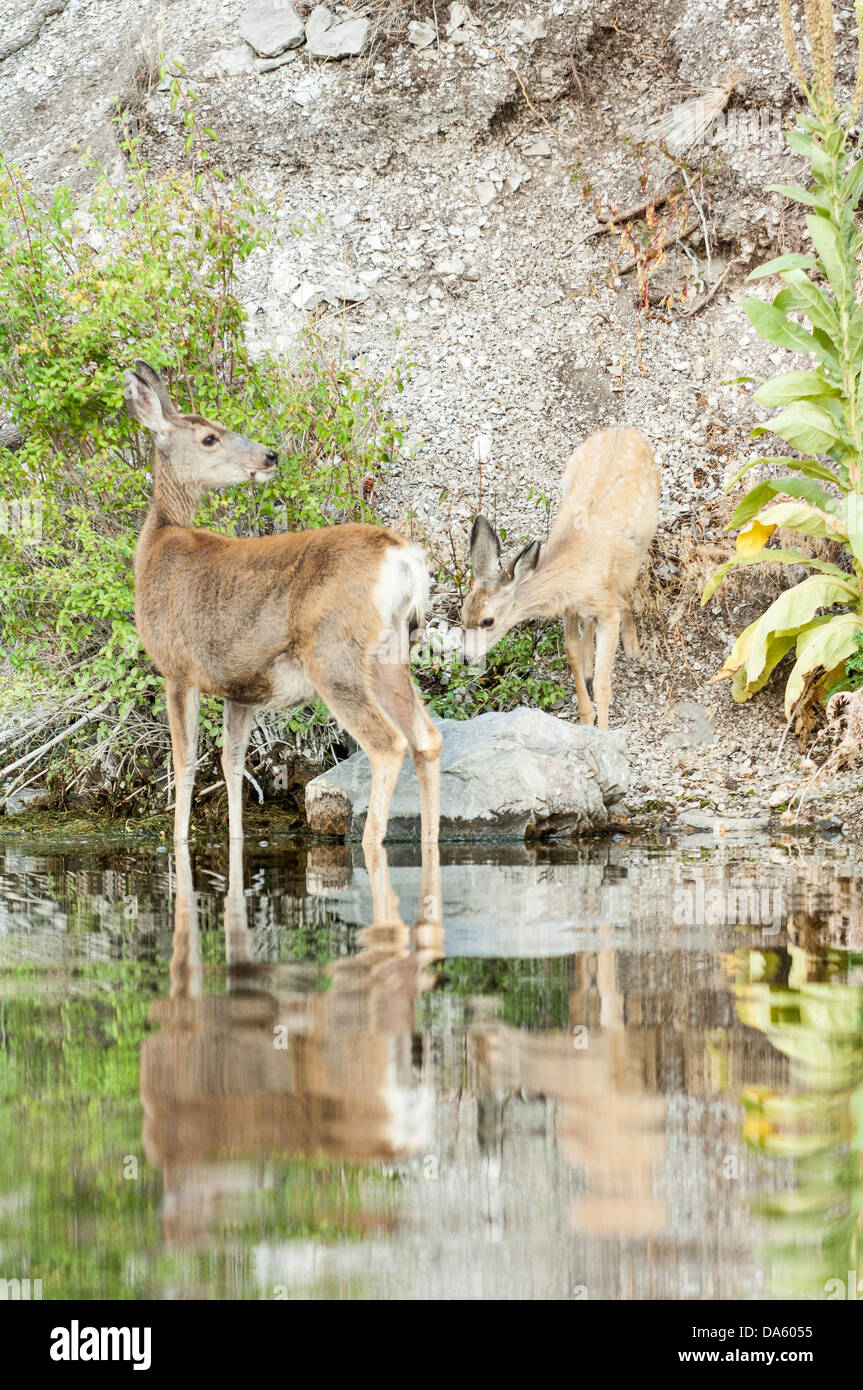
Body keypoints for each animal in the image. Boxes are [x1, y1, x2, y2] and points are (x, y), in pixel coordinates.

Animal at [124, 360, 441, 848]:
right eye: (210, 437)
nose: (270, 456)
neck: (159, 542)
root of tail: (403, 557)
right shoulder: (240, 689)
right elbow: (232, 762)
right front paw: (235, 838)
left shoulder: (177, 667)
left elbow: (186, 761)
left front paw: (178, 841)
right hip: (393, 651)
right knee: (427, 738)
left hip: (334, 654)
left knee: (388, 744)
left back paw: (370, 839)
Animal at [460, 427, 659, 729]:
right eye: (461, 614)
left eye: (488, 621)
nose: (466, 658)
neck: (573, 575)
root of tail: (624, 430)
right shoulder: (568, 608)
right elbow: (572, 652)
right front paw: (586, 719)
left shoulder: (606, 609)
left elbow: (603, 684)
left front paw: (602, 730)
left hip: (643, 539)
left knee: (627, 585)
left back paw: (632, 643)